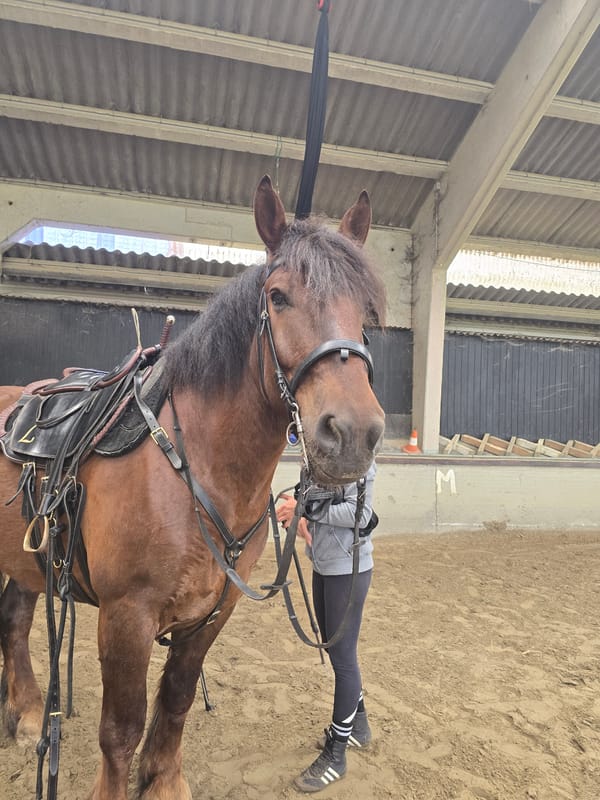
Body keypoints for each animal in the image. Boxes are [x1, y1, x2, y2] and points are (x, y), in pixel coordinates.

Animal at [0, 175, 386, 800]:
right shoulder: (126, 616)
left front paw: (162, 782)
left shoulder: (213, 612)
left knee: (14, 618)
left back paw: (30, 714)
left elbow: (176, 703)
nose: (351, 433)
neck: (198, 469)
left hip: (30, 558)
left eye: (367, 313)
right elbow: (120, 730)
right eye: (278, 297)